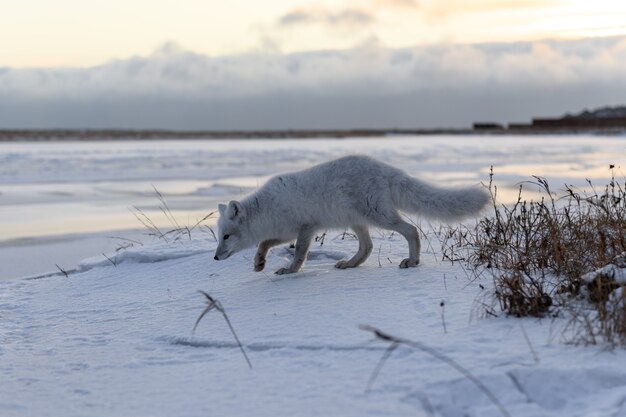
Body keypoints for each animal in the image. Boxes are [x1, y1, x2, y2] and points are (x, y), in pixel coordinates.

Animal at [214, 154, 488, 274]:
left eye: (226, 236)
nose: (215, 257)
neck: (267, 209)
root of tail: (387, 168)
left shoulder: (307, 227)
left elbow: (300, 253)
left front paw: (290, 270)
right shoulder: (286, 232)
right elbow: (264, 244)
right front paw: (259, 263)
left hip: (378, 215)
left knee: (411, 230)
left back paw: (412, 261)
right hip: (358, 221)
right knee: (367, 247)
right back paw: (350, 264)